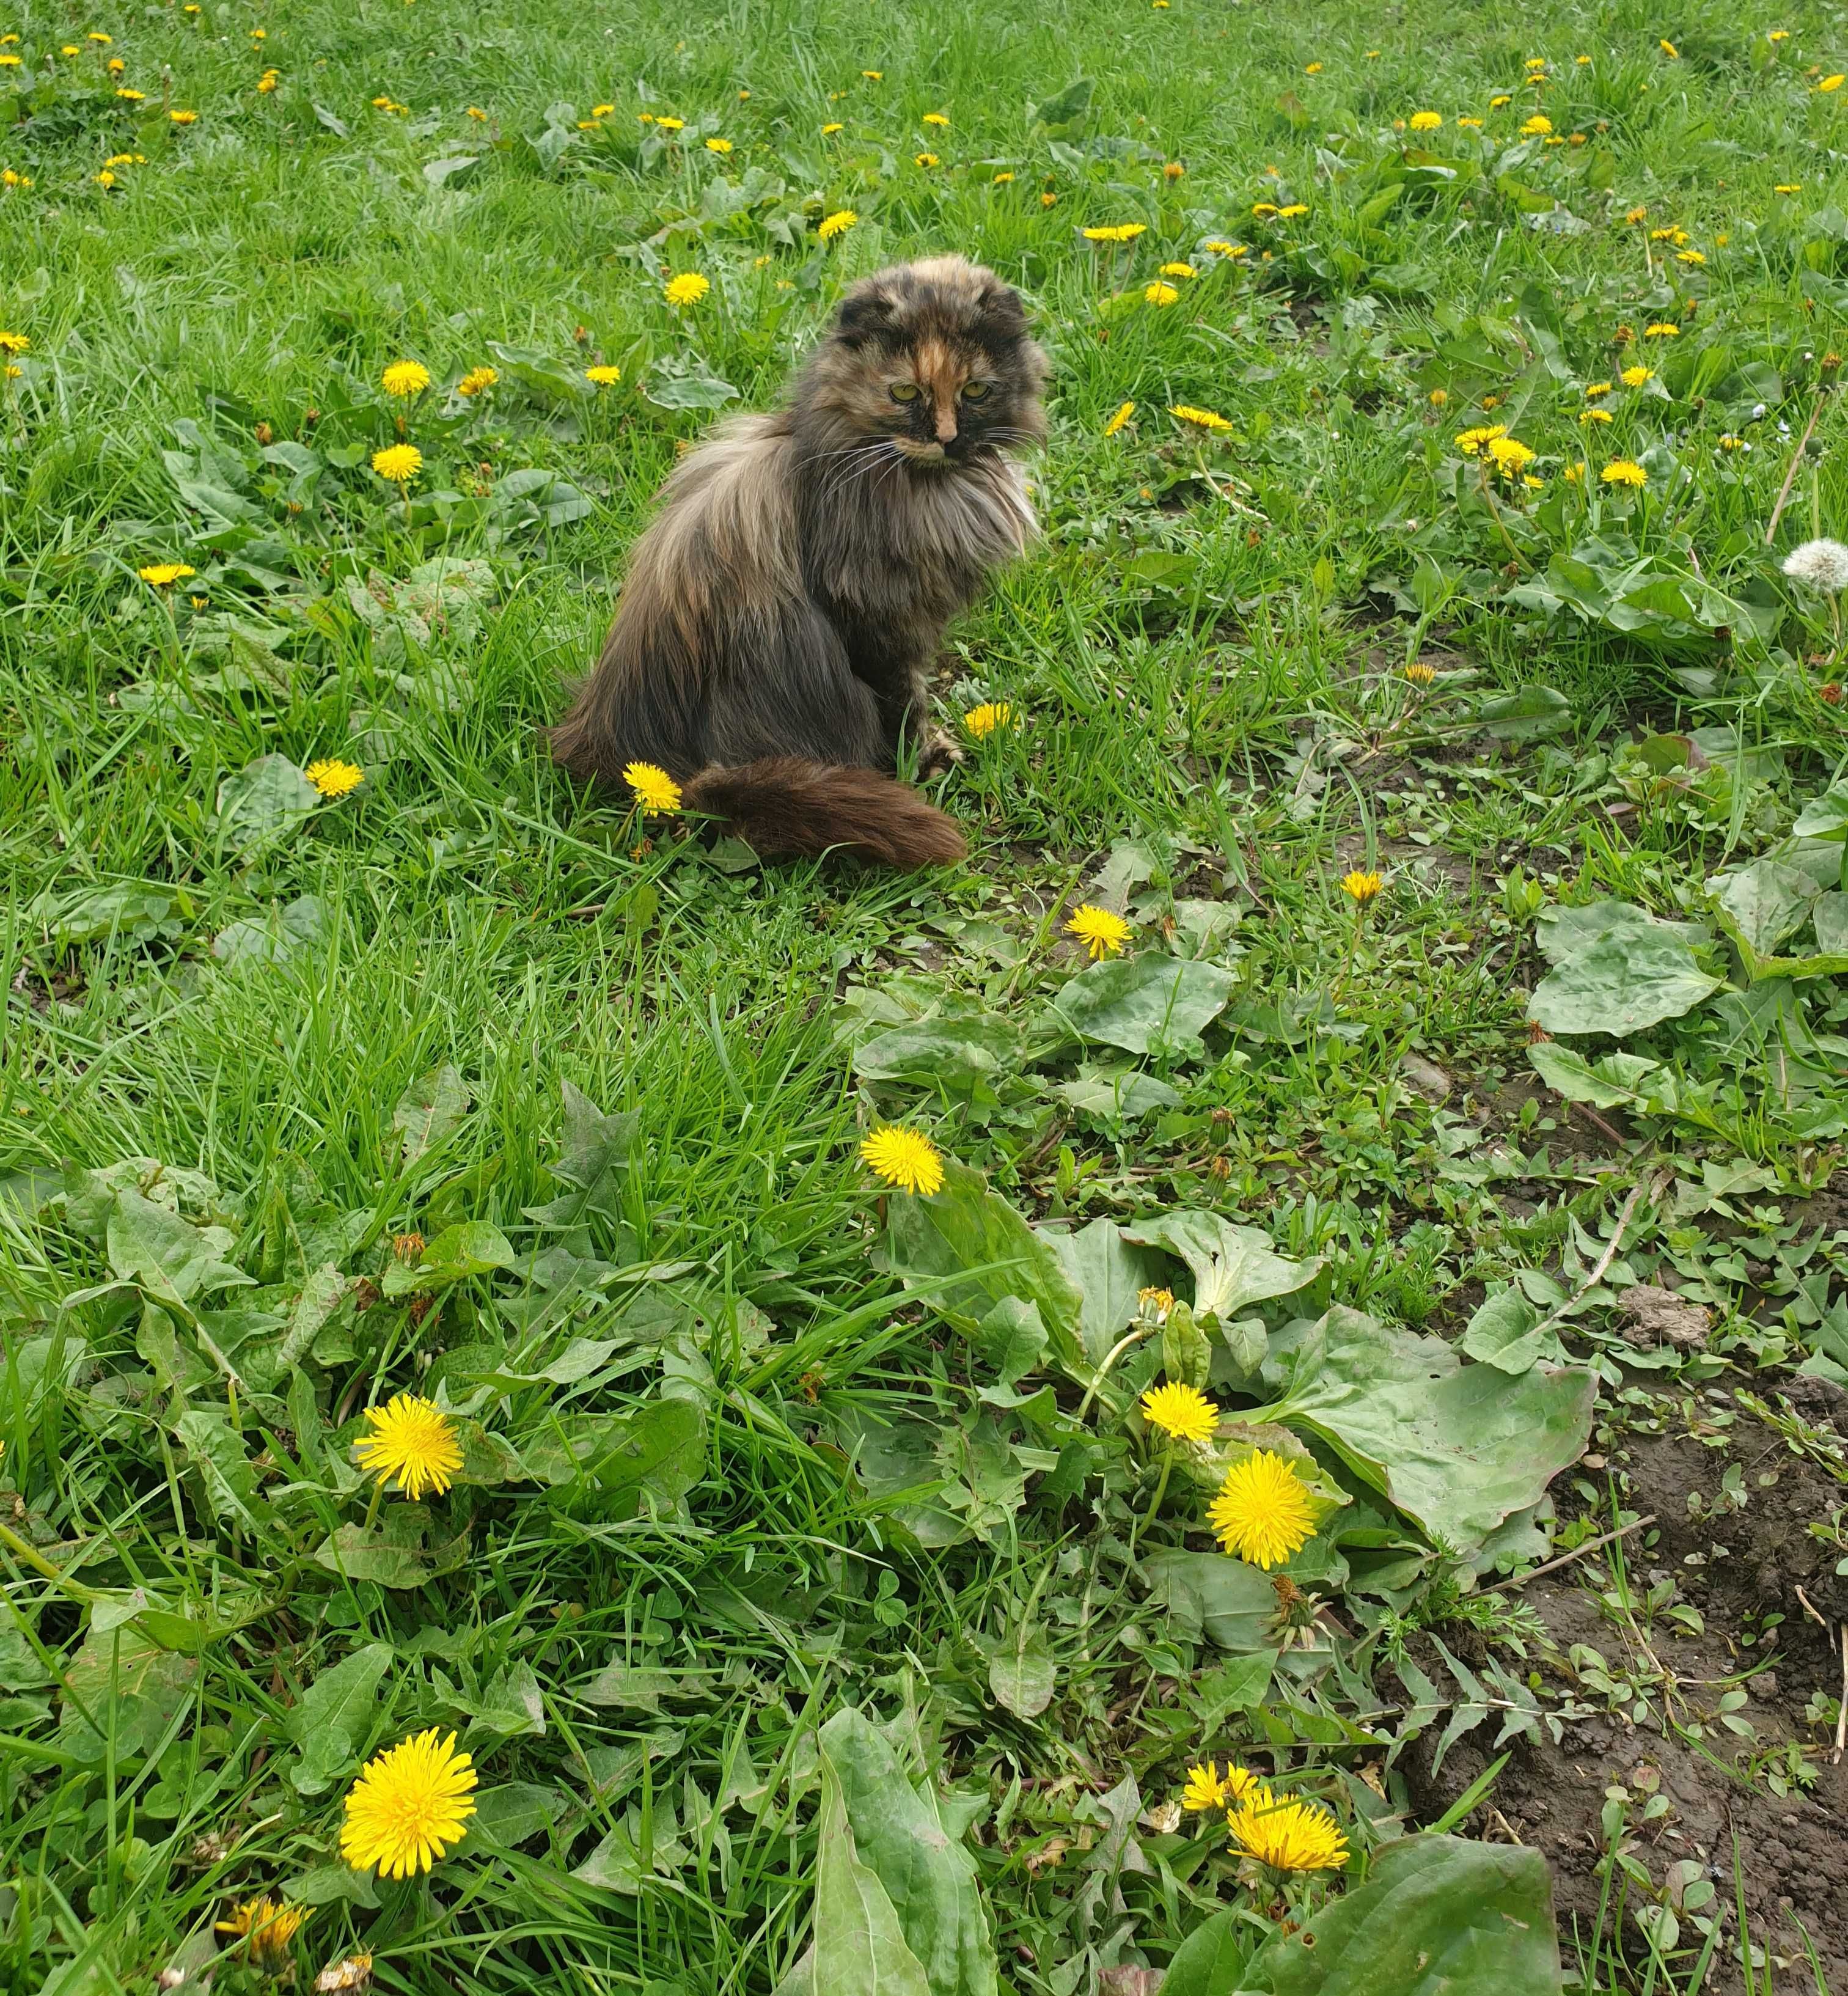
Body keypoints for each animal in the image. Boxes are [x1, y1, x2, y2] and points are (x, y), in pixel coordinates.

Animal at [551, 255, 1046, 866]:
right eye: (904, 392)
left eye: (976, 390)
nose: (948, 439)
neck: (929, 489)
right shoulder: (876, 619)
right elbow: (906, 704)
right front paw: (921, 763)